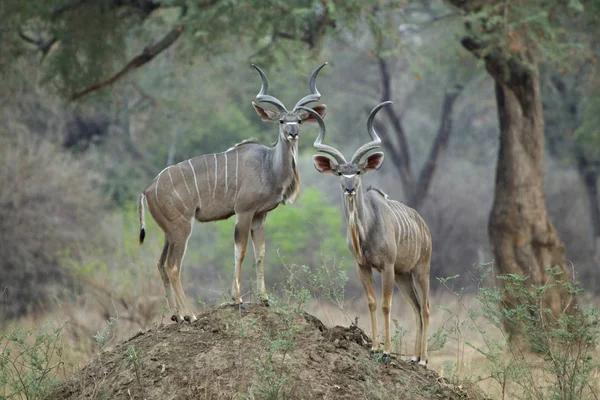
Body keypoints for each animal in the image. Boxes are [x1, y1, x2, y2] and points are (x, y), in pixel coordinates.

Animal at [138, 64, 326, 324]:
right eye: (281, 121)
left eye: (298, 120)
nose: (292, 134)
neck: (269, 165)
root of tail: (148, 190)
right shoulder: (244, 212)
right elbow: (241, 251)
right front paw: (237, 299)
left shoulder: (260, 215)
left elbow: (260, 253)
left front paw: (264, 299)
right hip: (181, 228)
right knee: (172, 266)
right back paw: (191, 315)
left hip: (169, 232)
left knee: (160, 263)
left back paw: (176, 315)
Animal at [304, 101, 432, 366]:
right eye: (340, 173)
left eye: (358, 172)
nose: (349, 188)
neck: (365, 230)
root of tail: (423, 225)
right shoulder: (362, 266)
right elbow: (372, 303)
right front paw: (373, 348)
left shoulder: (387, 266)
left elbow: (385, 305)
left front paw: (386, 352)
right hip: (404, 275)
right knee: (416, 308)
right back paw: (413, 357)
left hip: (420, 269)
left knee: (425, 307)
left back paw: (424, 360)